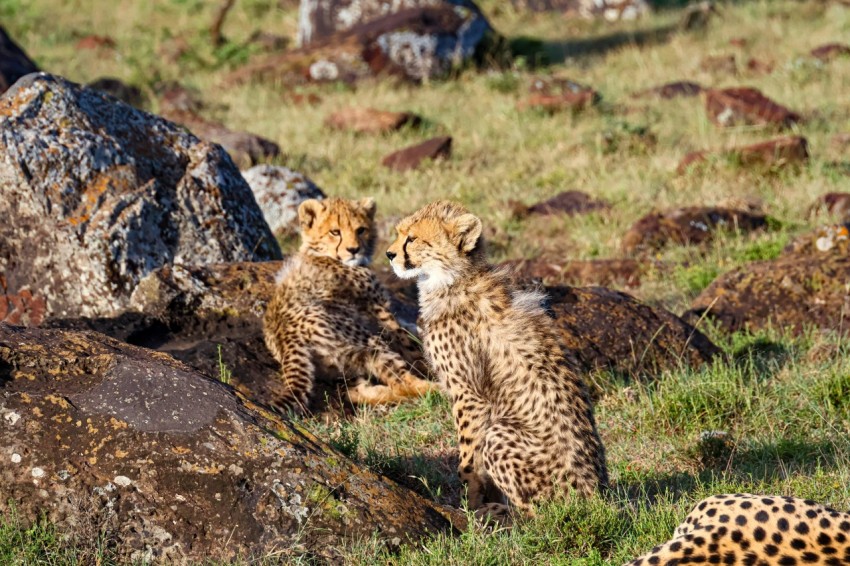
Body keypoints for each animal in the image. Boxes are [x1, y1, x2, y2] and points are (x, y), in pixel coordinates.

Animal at [263, 197, 438, 414]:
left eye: (361, 230)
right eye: (335, 232)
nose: (354, 250)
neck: (321, 253)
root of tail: (285, 338)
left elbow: (411, 327)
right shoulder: (378, 308)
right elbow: (407, 340)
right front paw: (426, 360)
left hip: (342, 362)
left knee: (355, 393)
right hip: (366, 341)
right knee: (403, 382)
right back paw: (438, 389)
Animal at [386, 200, 608, 523]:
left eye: (412, 238)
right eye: (399, 233)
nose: (389, 255)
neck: (453, 280)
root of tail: (597, 497)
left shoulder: (469, 395)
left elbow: (468, 456)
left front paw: (470, 503)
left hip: (502, 436)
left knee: (543, 518)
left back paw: (500, 513)